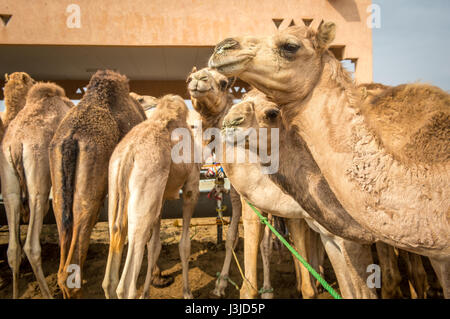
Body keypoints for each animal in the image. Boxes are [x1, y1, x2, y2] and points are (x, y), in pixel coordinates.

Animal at [0, 82, 73, 300]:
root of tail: (17, 143)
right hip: (39, 182)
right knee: (31, 246)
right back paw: (48, 294)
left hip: (9, 185)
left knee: (13, 249)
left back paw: (16, 293)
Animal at [102, 94, 200, 300]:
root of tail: (128, 153)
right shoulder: (191, 186)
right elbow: (184, 245)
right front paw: (187, 292)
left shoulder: (160, 198)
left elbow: (154, 246)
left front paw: (147, 292)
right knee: (126, 286)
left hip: (115, 190)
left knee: (109, 279)